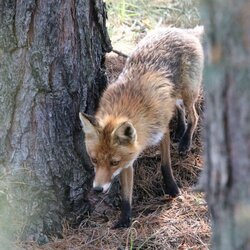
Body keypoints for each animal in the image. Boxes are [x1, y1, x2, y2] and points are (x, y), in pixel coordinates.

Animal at [79, 26, 204, 228]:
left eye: (114, 162)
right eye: (94, 160)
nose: (97, 189)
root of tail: (181, 30)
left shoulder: (161, 132)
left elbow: (165, 165)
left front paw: (172, 188)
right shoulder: (129, 161)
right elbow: (125, 194)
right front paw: (125, 219)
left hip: (188, 92)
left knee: (194, 115)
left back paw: (185, 141)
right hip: (174, 95)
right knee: (179, 108)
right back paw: (180, 130)